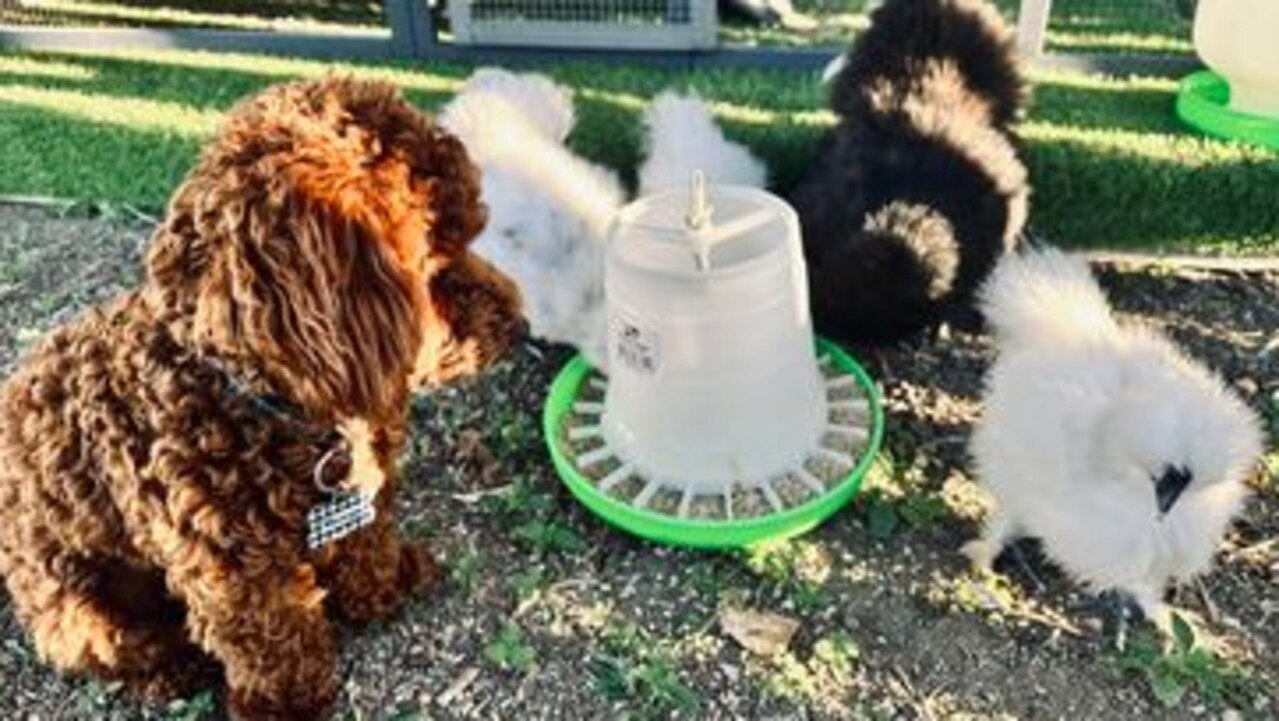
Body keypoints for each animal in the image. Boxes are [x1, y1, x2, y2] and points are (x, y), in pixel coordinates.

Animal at [0, 77, 524, 721]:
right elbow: (274, 631)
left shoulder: (359, 497)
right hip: (75, 604)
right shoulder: (231, 566)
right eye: (435, 254)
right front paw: (287, 701)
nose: (519, 324)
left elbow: (364, 542)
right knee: (113, 645)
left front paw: (386, 584)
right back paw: (172, 667)